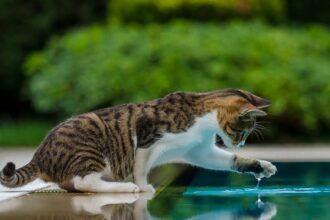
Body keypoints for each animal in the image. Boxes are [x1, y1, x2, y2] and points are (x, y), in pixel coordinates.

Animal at [0, 89, 278, 192]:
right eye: (241, 132)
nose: (240, 144)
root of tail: (39, 155)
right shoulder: (146, 138)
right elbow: (140, 167)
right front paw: (144, 187)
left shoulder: (199, 151)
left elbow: (231, 160)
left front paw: (261, 165)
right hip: (91, 143)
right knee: (84, 181)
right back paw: (125, 188)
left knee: (74, 184)